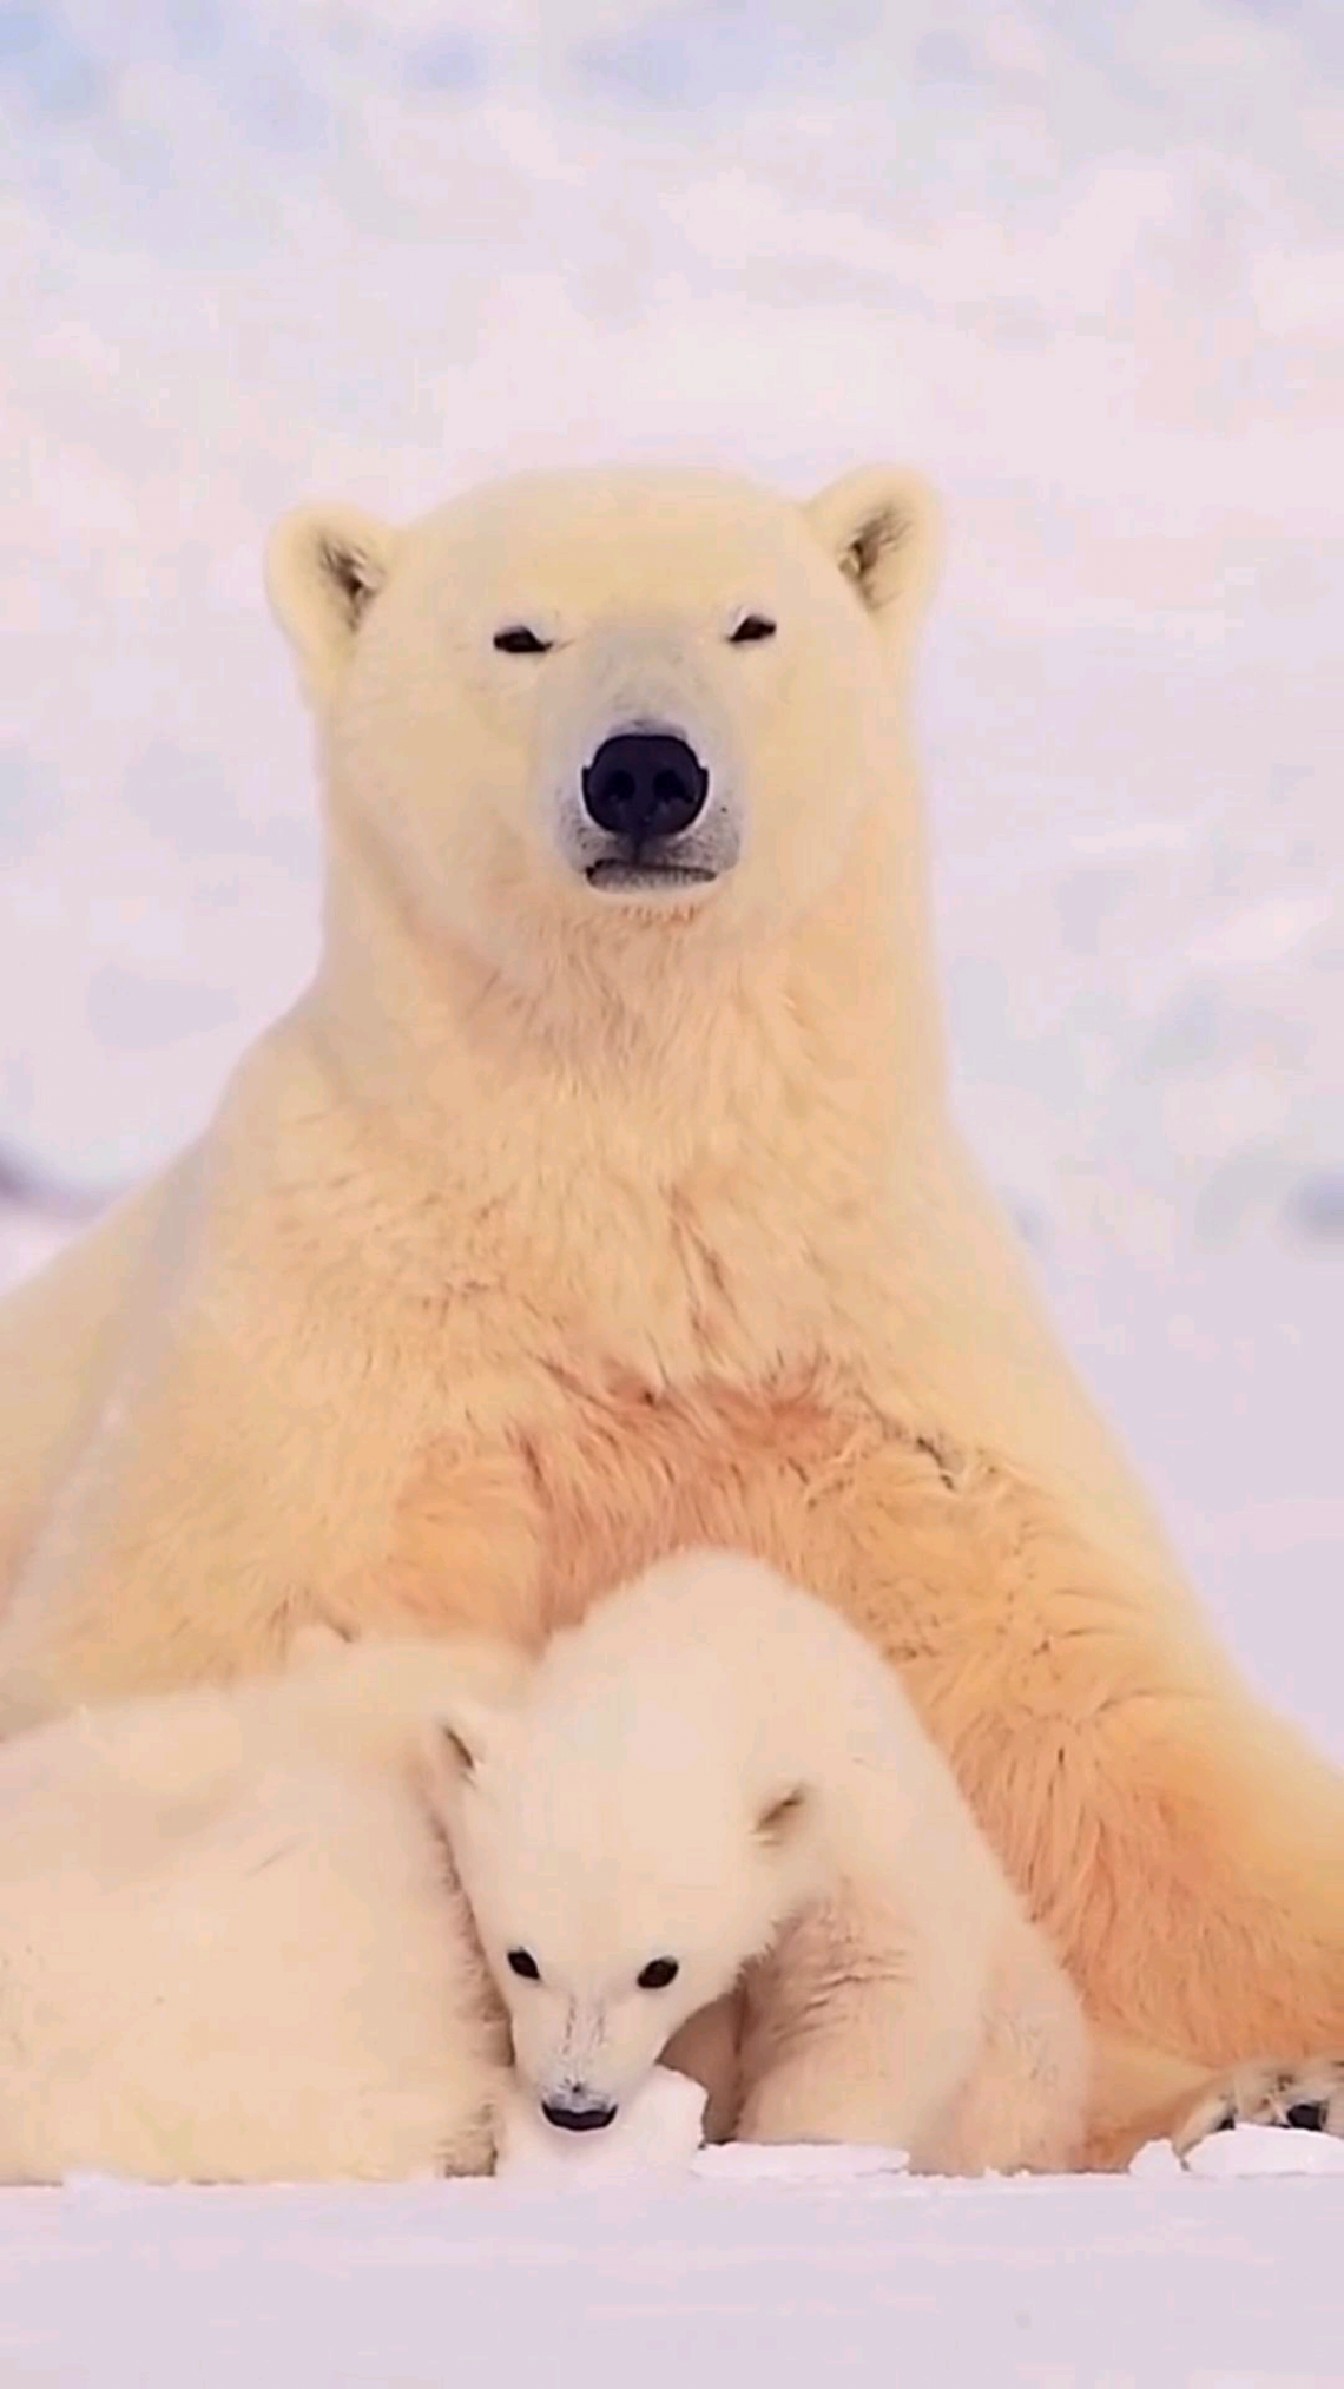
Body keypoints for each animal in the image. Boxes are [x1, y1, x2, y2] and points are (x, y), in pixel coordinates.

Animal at [432, 1548, 1093, 2188]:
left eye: (659, 1970)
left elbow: (876, 1997)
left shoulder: (860, 1849)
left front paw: (791, 2153)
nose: (576, 2107)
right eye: (521, 1959)